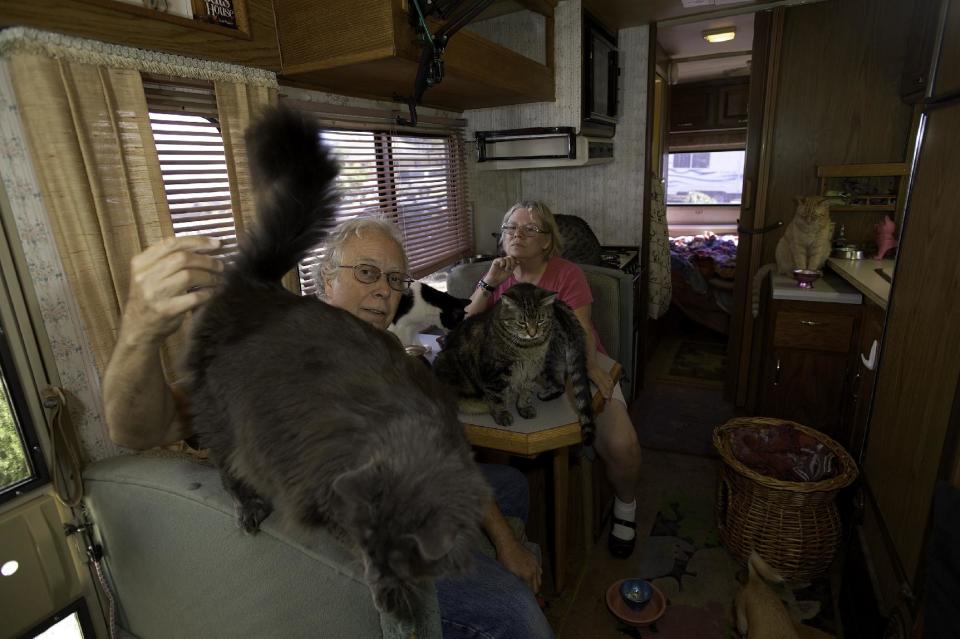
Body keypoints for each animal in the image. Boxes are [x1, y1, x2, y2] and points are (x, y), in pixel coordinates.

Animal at [185, 107, 492, 624]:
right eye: (369, 540)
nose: (391, 580)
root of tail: (254, 286)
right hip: (221, 414)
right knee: (228, 466)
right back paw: (249, 507)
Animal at [434, 284, 592, 444]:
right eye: (522, 322)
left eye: (540, 321)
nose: (532, 333)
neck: (529, 348)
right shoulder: (495, 373)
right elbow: (497, 398)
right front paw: (502, 415)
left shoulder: (532, 370)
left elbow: (525, 393)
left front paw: (524, 407)